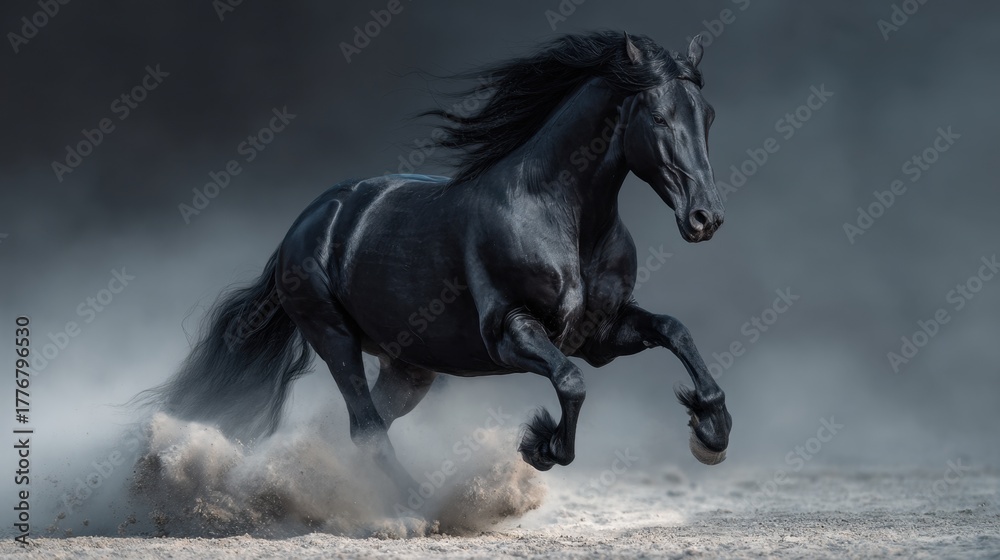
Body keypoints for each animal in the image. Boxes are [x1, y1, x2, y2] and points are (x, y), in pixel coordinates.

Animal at [145, 30, 732, 495]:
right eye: (659, 117)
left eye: (707, 115)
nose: (706, 218)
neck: (562, 216)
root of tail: (307, 223)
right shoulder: (510, 332)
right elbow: (570, 383)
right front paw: (539, 445)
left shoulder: (600, 335)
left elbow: (674, 331)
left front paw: (711, 430)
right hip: (333, 337)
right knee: (366, 428)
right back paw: (415, 507)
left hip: (408, 367)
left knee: (364, 426)